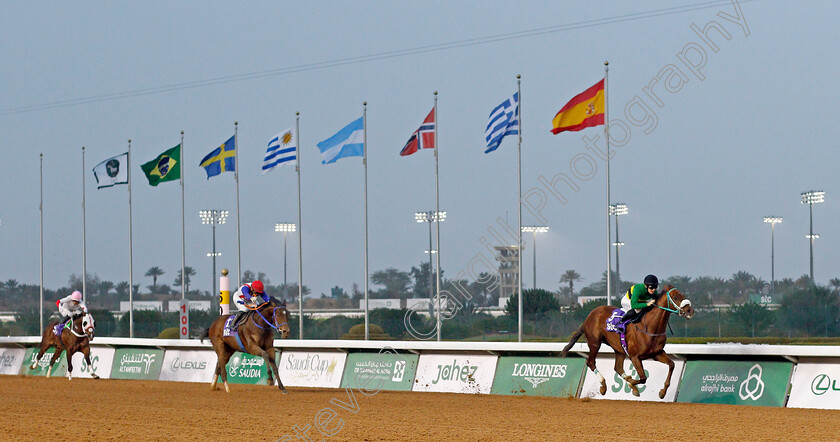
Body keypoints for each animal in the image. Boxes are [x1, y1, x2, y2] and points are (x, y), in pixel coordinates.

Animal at [560, 284, 692, 398]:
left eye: (683, 295)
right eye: (675, 297)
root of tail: (589, 316)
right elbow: (643, 378)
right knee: (591, 362)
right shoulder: (635, 357)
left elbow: (672, 365)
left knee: (618, 367)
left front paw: (662, 392)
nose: (690, 310)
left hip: (619, 349)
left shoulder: (657, 353)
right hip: (594, 343)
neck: (649, 326)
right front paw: (632, 382)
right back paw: (603, 386)